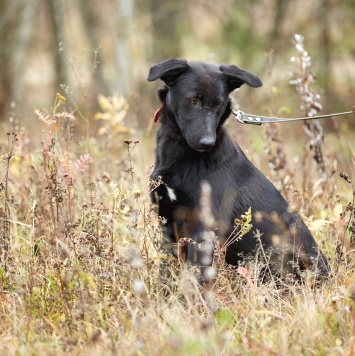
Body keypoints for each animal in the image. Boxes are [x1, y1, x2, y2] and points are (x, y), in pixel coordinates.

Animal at [148, 57, 330, 280]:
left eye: (218, 104)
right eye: (193, 101)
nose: (207, 143)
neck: (183, 153)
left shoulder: (203, 229)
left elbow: (195, 276)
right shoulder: (167, 222)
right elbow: (166, 271)